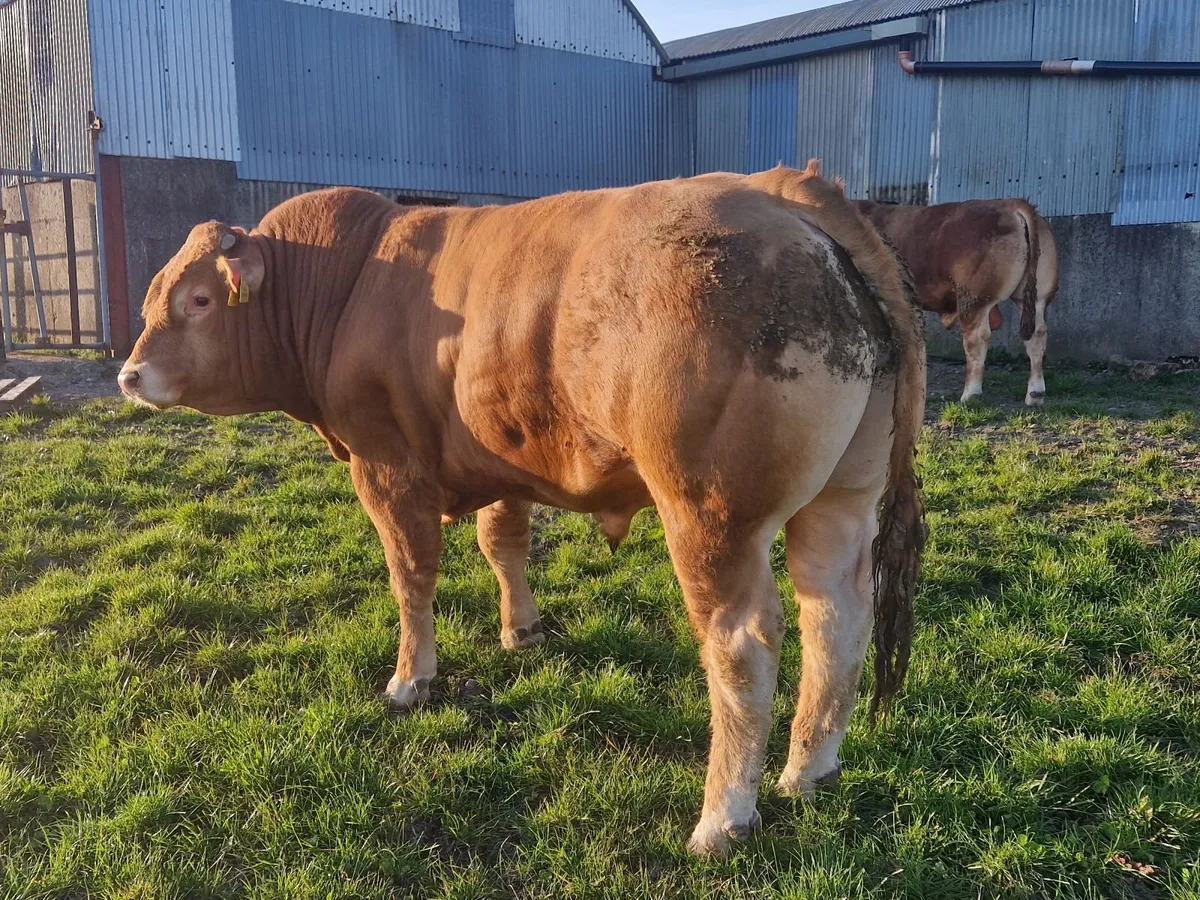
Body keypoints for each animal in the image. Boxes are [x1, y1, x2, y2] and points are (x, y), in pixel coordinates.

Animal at [116, 173, 927, 856]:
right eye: (152, 296)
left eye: (199, 300)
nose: (128, 374)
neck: (349, 285)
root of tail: (784, 193)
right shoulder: (500, 457)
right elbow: (502, 542)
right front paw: (521, 630)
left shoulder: (387, 470)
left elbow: (411, 575)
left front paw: (411, 678)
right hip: (842, 499)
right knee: (838, 617)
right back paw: (808, 771)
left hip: (711, 517)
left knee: (742, 644)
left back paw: (723, 816)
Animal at [855, 198, 1059, 407]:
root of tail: (1012, 203)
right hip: (1036, 296)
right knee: (1037, 335)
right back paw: (1035, 393)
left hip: (974, 299)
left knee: (976, 339)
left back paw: (970, 394)